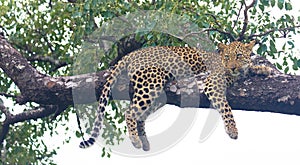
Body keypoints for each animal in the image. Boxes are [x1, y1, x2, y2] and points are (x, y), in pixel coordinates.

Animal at [78, 40, 274, 151]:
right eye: (227, 57)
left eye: (239, 56)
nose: (232, 67)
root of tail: (132, 53)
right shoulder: (213, 83)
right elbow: (226, 108)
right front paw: (232, 130)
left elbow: (252, 68)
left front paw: (263, 69)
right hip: (151, 83)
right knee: (130, 112)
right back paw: (135, 140)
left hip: (156, 94)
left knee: (140, 114)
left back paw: (144, 141)